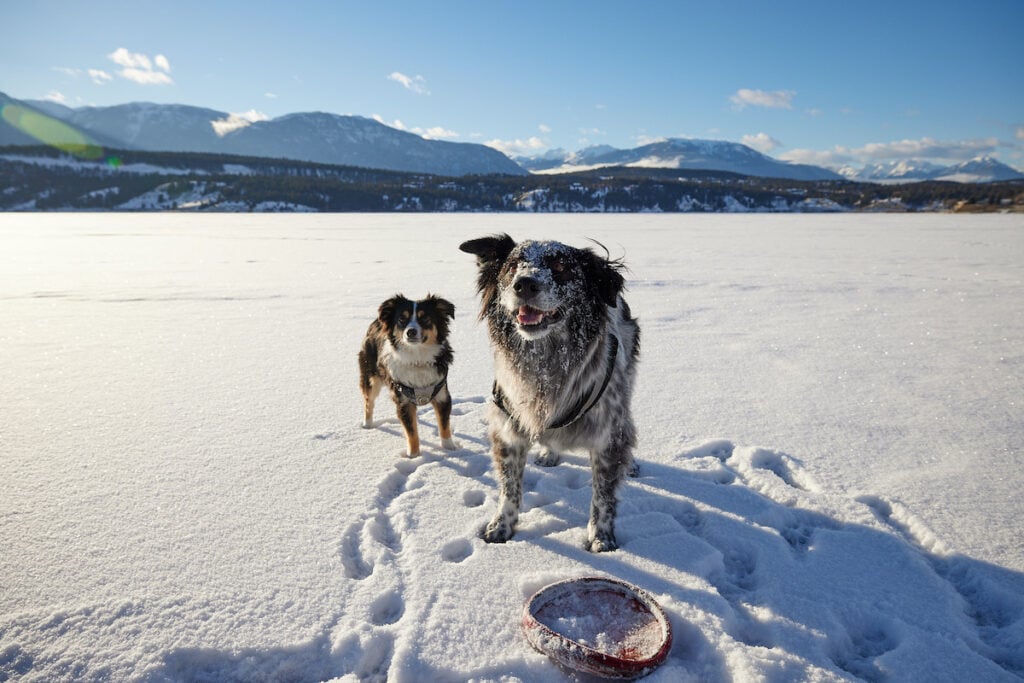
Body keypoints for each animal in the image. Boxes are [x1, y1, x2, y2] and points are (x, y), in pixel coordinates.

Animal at [360, 294, 456, 458]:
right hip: (370, 376)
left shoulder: (442, 394)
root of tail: (376, 321)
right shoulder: (403, 401)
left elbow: (444, 425)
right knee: (369, 401)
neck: (418, 359)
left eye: (425, 318)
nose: (410, 332)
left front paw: (450, 449)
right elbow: (411, 432)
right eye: (401, 319)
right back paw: (368, 425)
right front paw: (414, 456)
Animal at [458, 233, 634, 548]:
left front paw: (600, 539)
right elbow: (509, 488)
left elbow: (602, 496)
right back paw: (548, 452)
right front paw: (501, 527)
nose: (524, 284)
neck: (545, 366)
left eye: (561, 265)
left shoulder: (608, 436)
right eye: (512, 266)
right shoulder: (508, 428)